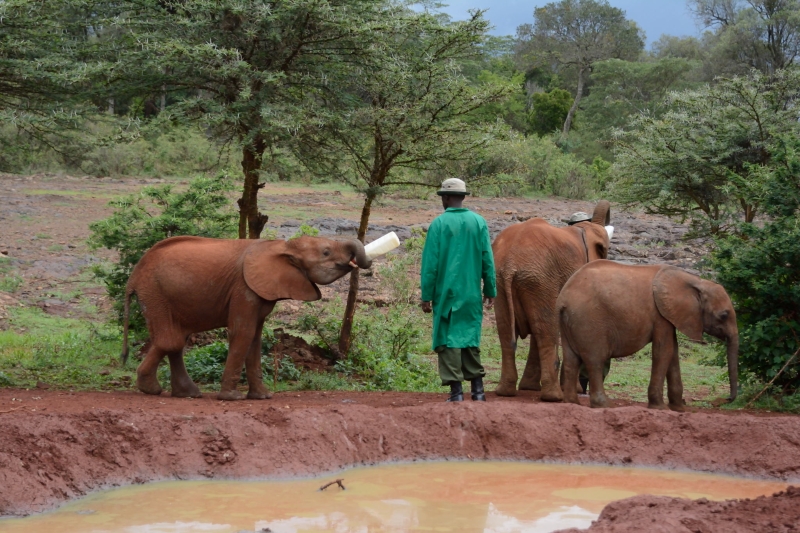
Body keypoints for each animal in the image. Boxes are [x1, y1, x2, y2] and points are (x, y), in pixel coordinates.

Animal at [122, 235, 372, 402]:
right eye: (326, 252)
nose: (365, 262)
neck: (282, 246)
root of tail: (133, 276)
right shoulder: (243, 288)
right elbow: (244, 332)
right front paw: (232, 398)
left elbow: (255, 337)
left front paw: (262, 397)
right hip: (154, 293)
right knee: (170, 341)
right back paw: (151, 390)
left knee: (176, 341)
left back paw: (187, 394)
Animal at [490, 200, 608, 400]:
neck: (582, 228)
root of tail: (511, 263)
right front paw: (575, 390)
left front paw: (529, 388)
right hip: (540, 279)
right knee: (546, 329)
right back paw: (554, 397)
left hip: (504, 280)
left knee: (508, 331)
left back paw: (505, 392)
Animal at [556, 260, 736, 410]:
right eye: (724, 315)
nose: (726, 400)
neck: (695, 281)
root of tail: (563, 299)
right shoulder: (660, 315)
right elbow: (664, 351)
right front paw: (660, 408)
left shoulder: (668, 315)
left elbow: (673, 352)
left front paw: (679, 409)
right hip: (589, 321)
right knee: (595, 361)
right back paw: (605, 405)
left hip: (569, 323)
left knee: (571, 360)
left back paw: (572, 403)